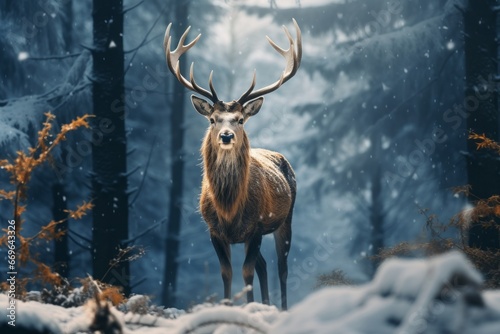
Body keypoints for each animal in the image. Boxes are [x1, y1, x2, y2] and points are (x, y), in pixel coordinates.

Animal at [164, 18, 300, 310]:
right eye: (213, 119)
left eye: (239, 119)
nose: (226, 135)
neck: (229, 209)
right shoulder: (213, 230)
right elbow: (226, 272)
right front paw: (228, 307)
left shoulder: (257, 226)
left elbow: (247, 272)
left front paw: (249, 307)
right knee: (263, 265)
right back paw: (266, 303)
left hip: (287, 218)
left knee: (281, 267)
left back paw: (281, 307)